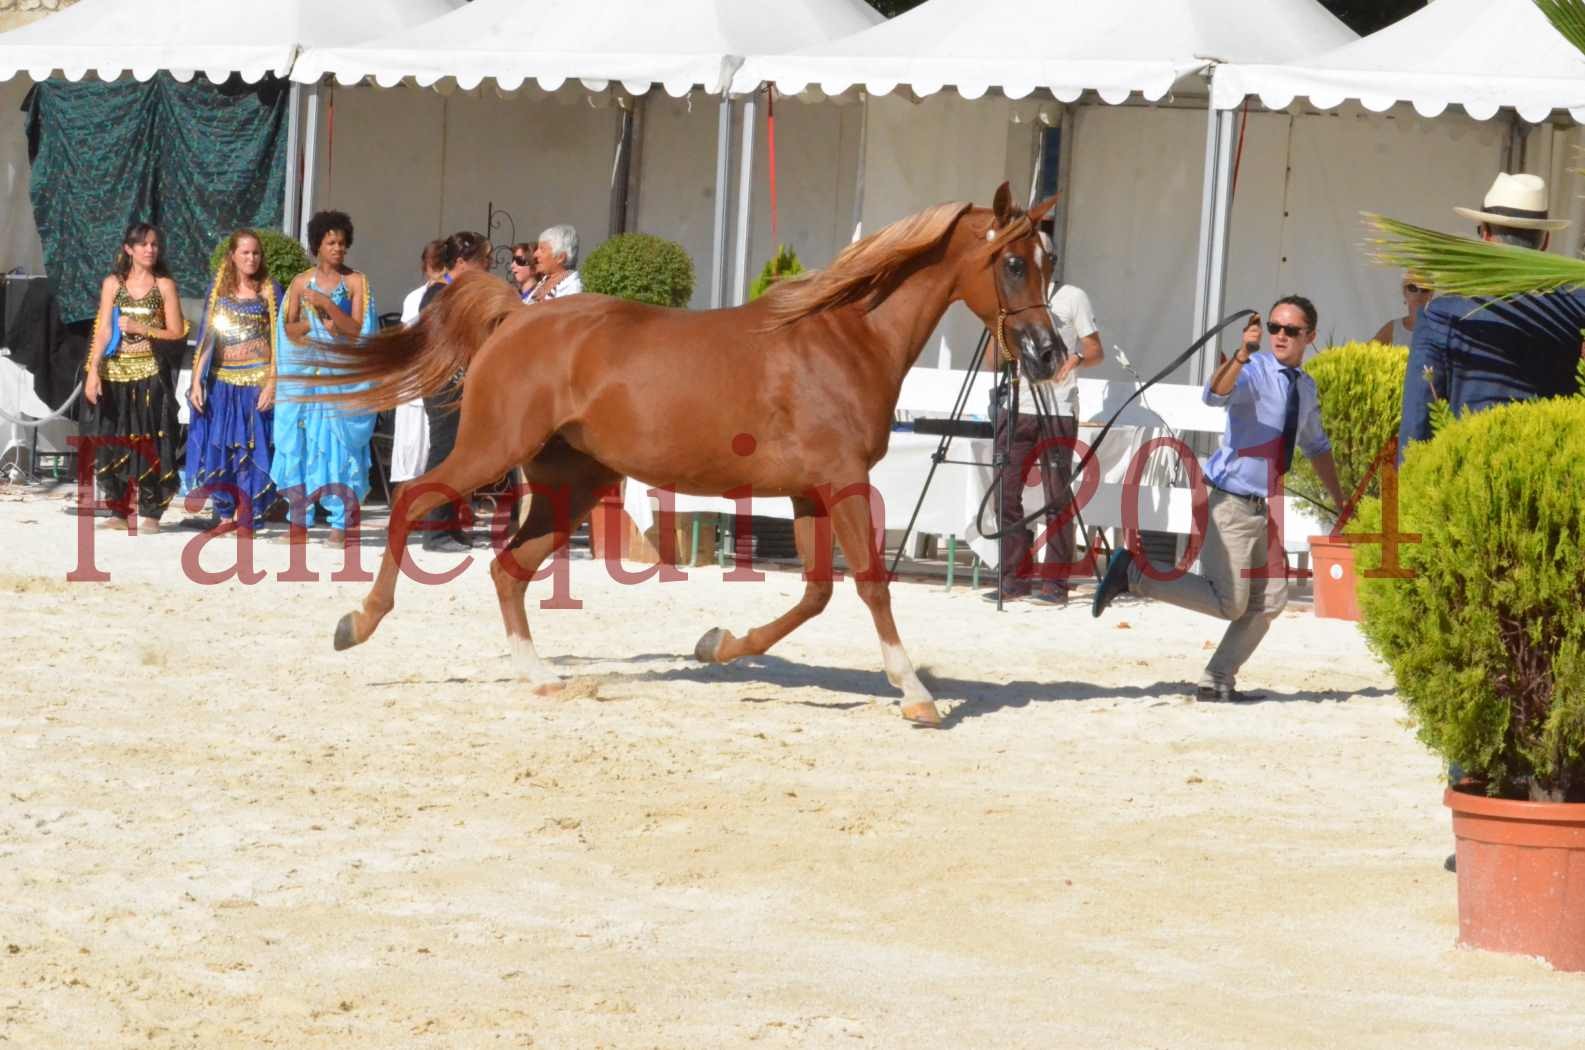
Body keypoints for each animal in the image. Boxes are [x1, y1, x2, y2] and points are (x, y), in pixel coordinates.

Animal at [318, 184, 1065, 729]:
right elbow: (870, 584)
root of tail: (519, 313)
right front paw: (914, 694)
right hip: (492, 449)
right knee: (415, 501)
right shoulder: (843, 481)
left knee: (509, 567)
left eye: (1049, 262)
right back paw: (357, 622)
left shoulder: (809, 490)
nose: (1047, 354)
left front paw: (718, 644)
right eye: (1012, 262)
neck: (844, 337)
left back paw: (541, 676)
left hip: (571, 482)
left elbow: (816, 593)